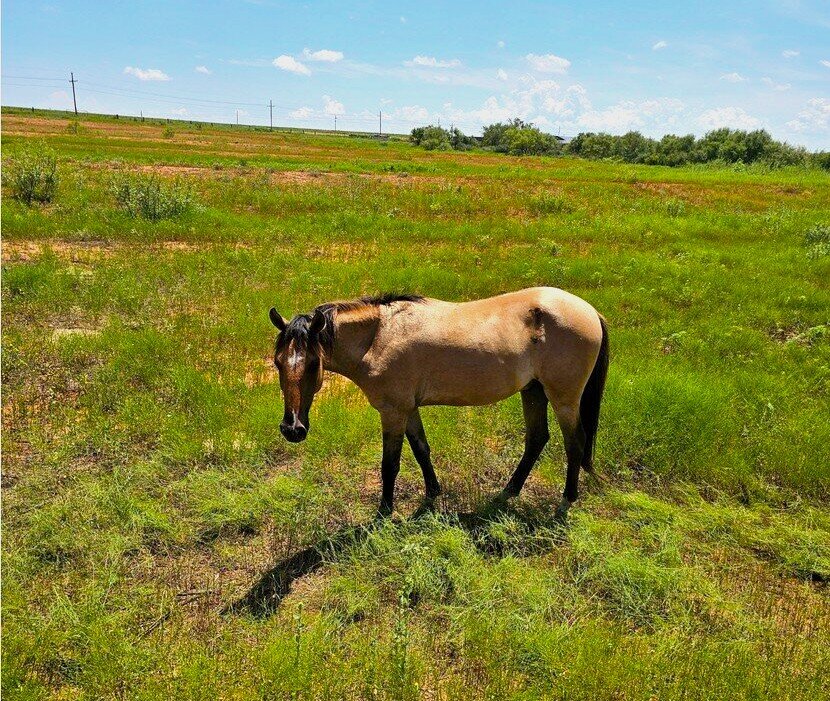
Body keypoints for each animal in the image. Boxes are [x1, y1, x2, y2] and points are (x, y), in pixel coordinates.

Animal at [269, 287, 609, 519]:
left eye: (313, 364)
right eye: (277, 362)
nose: (292, 428)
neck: (379, 338)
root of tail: (590, 311)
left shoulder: (393, 412)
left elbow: (390, 464)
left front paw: (384, 511)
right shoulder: (408, 409)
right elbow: (421, 449)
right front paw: (433, 492)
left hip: (563, 399)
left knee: (575, 444)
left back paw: (566, 500)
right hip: (533, 391)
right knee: (537, 439)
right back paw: (507, 492)